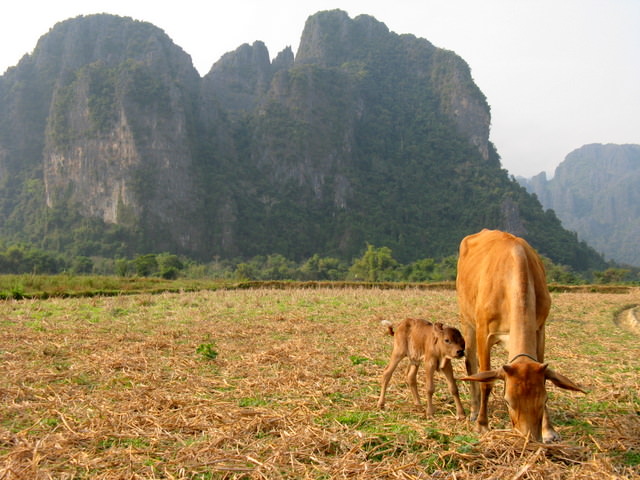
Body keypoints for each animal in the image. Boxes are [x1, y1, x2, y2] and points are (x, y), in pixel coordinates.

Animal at [456, 229, 584, 442]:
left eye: (544, 400)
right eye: (508, 401)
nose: (529, 438)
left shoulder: (540, 329)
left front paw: (549, 430)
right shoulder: (484, 332)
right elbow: (486, 381)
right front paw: (482, 425)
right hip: (467, 320)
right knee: (471, 364)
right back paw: (474, 411)